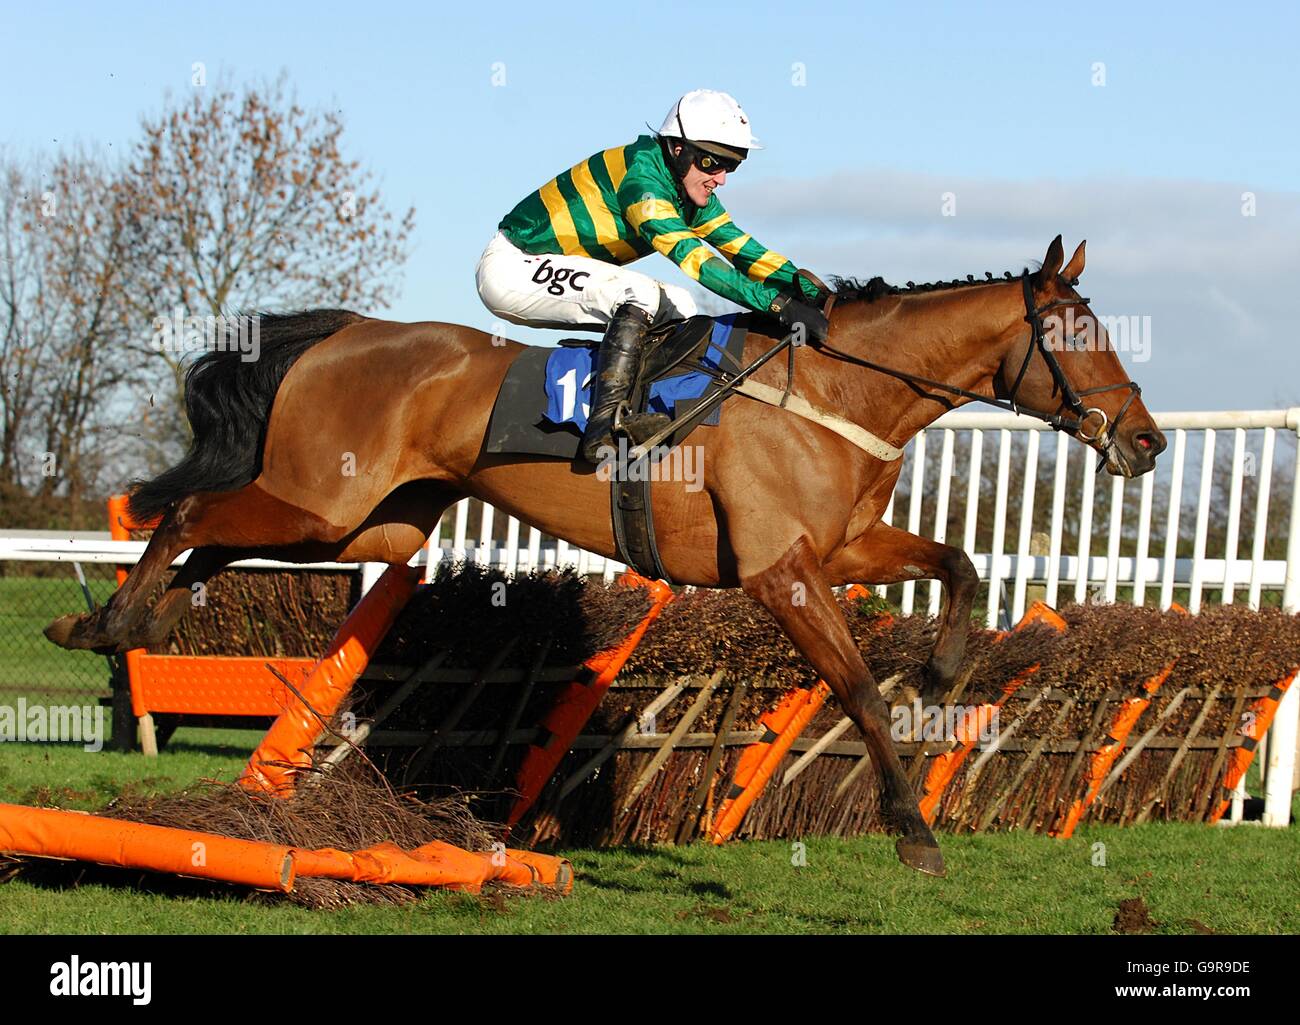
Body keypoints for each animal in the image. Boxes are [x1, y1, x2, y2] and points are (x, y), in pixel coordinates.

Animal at [43, 236, 1170, 879]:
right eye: (1076, 333)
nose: (1148, 441)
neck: (835, 391)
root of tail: (343, 331)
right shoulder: (779, 568)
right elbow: (853, 683)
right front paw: (913, 828)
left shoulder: (842, 544)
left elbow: (959, 563)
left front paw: (943, 666)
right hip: (327, 500)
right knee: (193, 510)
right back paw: (117, 617)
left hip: (369, 523)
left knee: (213, 535)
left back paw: (117, 618)